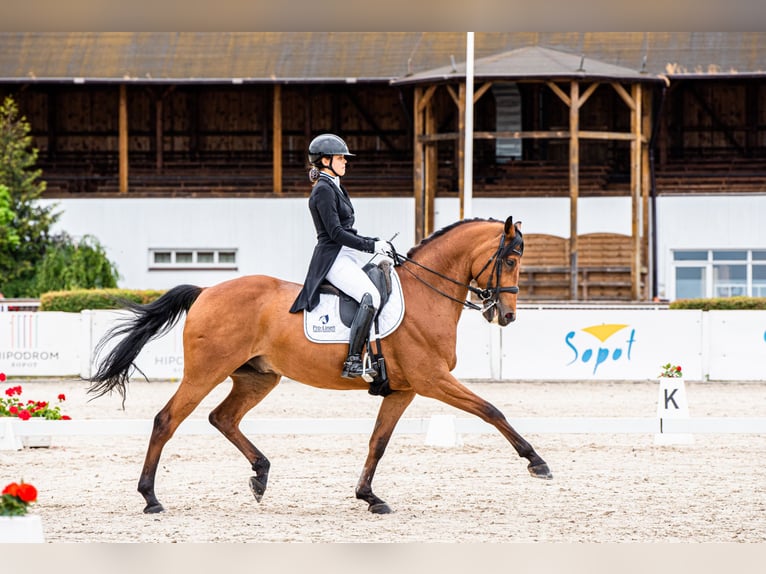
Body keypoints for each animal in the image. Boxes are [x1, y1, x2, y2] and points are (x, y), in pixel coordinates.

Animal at [88, 217, 552, 516]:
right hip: (206, 372)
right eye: (511, 261)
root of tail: (206, 291)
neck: (427, 294)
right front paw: (537, 463)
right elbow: (491, 410)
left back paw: (260, 475)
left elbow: (377, 442)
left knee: (223, 418)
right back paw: (150, 498)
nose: (507, 317)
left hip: (258, 377)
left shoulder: (404, 389)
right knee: (167, 419)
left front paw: (369, 497)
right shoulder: (433, 379)